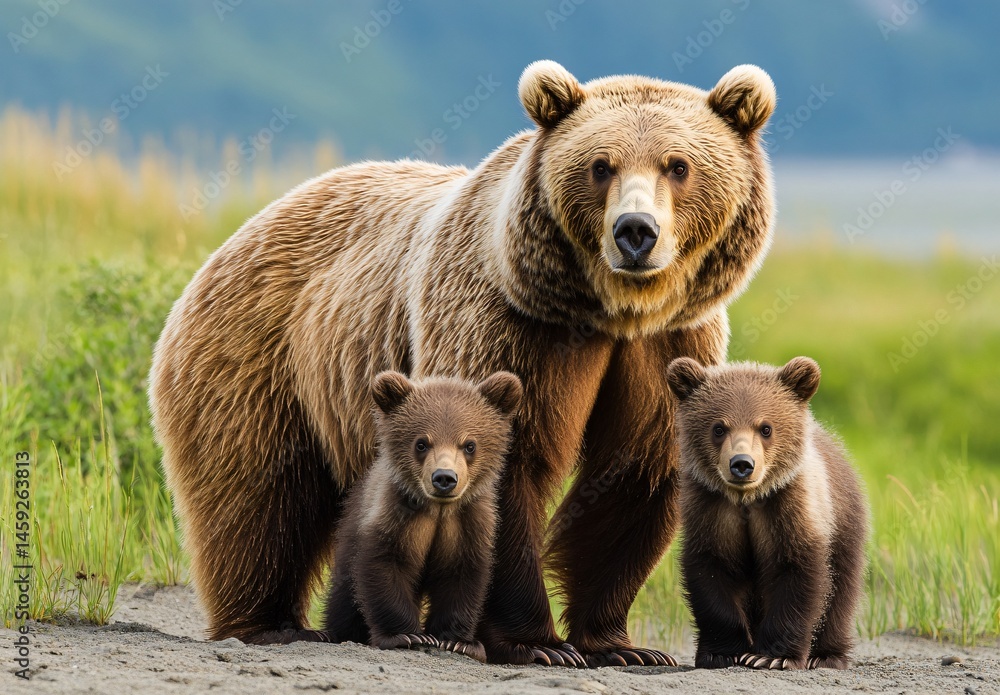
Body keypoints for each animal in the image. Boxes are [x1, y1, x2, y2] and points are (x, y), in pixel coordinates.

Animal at [324, 370, 522, 664]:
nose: (445, 478)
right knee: (344, 600)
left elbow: (462, 577)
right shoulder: (394, 517)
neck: (438, 510)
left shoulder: (467, 525)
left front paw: (458, 641)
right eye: (421, 443)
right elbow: (384, 566)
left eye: (469, 445)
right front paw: (406, 635)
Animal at [665, 356, 869, 670]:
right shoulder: (711, 512)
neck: (747, 500)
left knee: (842, 589)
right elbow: (712, 572)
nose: (741, 464)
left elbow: (797, 574)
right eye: (718, 428)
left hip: (844, 520)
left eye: (765, 428)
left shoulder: (789, 510)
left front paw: (772, 657)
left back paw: (826, 655)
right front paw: (721, 652)